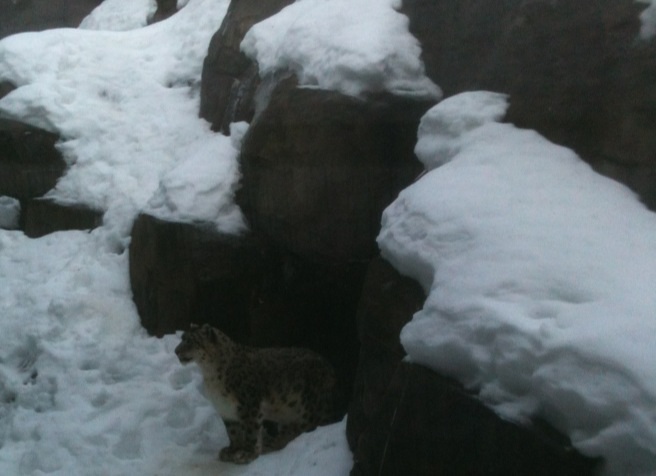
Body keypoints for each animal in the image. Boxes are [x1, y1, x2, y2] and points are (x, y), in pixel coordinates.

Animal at [174, 323, 340, 464]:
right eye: (182, 337)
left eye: (191, 341)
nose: (176, 351)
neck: (210, 374)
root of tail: (329, 367)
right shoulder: (225, 407)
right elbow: (232, 431)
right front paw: (232, 450)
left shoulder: (248, 404)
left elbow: (251, 430)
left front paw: (246, 453)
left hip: (309, 408)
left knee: (309, 426)